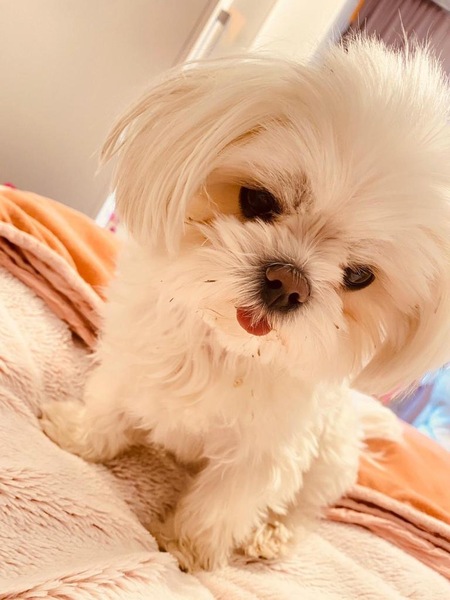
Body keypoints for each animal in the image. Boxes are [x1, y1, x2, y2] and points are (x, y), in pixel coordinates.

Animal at [41, 36, 450, 572]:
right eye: (257, 200)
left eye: (360, 276)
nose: (288, 283)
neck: (225, 350)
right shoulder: (131, 362)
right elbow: (107, 407)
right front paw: (81, 437)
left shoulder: (265, 452)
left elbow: (223, 501)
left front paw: (187, 548)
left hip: (329, 463)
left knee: (303, 511)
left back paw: (270, 534)